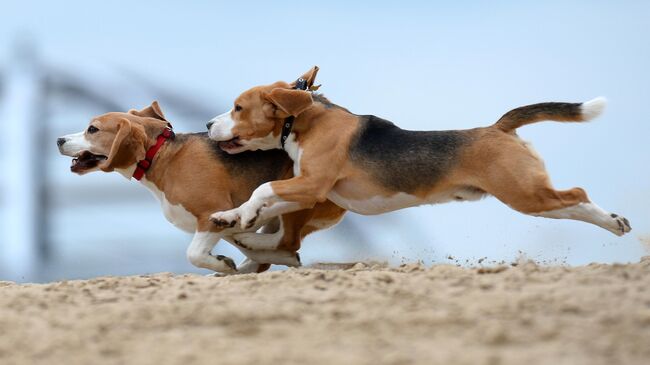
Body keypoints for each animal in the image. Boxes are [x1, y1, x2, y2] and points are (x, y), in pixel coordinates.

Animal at [58, 100, 346, 272]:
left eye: (92, 130)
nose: (59, 139)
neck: (161, 155)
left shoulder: (210, 214)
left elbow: (194, 254)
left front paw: (223, 265)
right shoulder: (220, 219)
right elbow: (241, 240)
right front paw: (235, 262)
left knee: (289, 239)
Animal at [206, 66, 628, 236]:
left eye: (238, 108)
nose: (209, 125)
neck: (303, 120)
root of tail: (498, 127)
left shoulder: (312, 185)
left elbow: (262, 190)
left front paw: (244, 214)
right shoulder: (309, 192)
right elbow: (262, 203)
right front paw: (232, 216)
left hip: (524, 193)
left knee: (577, 194)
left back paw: (614, 222)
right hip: (531, 195)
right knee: (571, 204)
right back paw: (613, 221)